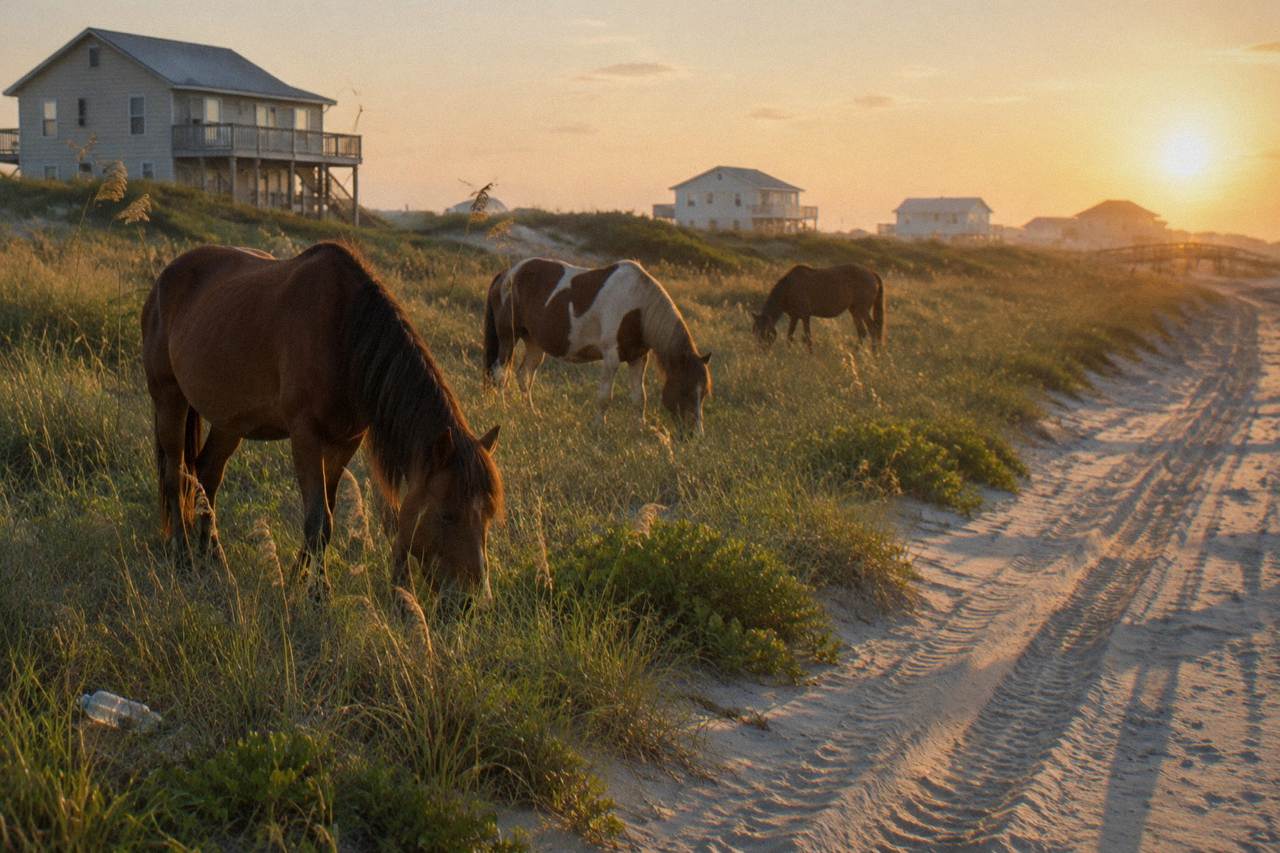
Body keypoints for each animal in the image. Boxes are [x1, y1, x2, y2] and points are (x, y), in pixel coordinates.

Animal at [141, 242, 503, 599]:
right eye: (447, 515)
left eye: (488, 516)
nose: (472, 600)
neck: (345, 334)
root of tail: (163, 281)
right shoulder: (305, 435)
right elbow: (319, 519)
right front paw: (317, 592)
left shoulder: (346, 441)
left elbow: (326, 513)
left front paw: (299, 579)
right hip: (169, 399)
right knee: (175, 476)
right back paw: (185, 557)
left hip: (230, 420)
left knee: (206, 475)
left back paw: (214, 559)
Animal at [482, 258, 712, 431]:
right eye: (685, 390)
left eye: (704, 393)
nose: (695, 434)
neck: (638, 308)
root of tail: (507, 274)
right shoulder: (611, 357)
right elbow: (604, 396)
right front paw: (599, 425)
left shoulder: (638, 357)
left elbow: (640, 397)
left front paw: (639, 427)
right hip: (508, 337)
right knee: (500, 373)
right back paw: (503, 409)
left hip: (534, 342)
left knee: (524, 375)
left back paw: (530, 411)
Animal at [751, 263, 885, 352]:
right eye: (754, 332)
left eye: (764, 333)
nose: (760, 351)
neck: (789, 287)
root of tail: (871, 273)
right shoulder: (794, 317)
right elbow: (790, 336)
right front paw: (788, 351)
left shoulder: (805, 316)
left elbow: (807, 337)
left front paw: (810, 355)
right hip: (854, 310)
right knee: (862, 332)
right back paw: (857, 352)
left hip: (862, 309)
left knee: (873, 329)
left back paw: (873, 353)